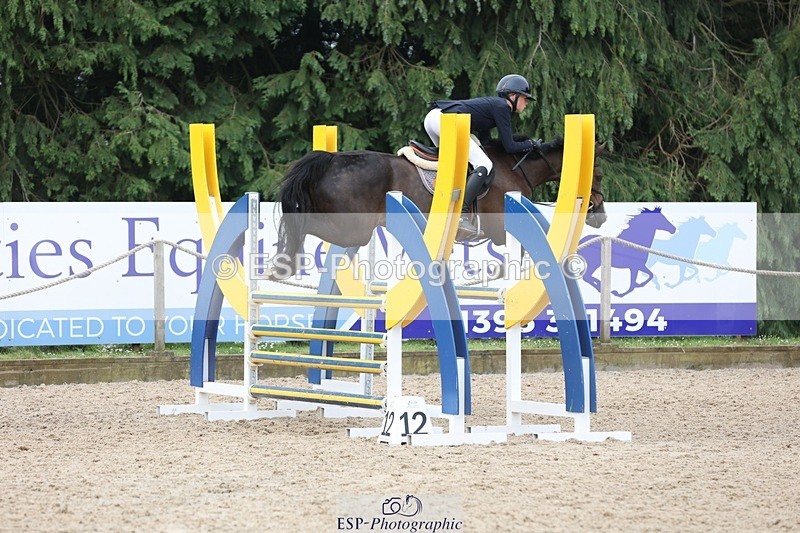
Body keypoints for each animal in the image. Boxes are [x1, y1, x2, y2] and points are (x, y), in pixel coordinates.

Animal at [274, 138, 607, 275]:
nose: (601, 215)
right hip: (354, 228)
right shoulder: (501, 230)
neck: (516, 168)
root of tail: (331, 160)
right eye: (599, 173)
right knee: (303, 225)